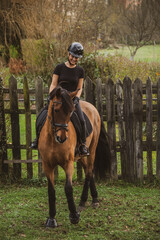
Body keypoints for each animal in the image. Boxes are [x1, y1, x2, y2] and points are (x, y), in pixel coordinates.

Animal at [38, 86, 110, 227]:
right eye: (56, 110)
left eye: (70, 112)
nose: (62, 138)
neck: (53, 140)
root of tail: (93, 107)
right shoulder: (47, 164)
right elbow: (51, 190)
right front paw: (51, 219)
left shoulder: (68, 163)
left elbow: (68, 188)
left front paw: (74, 216)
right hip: (80, 156)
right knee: (88, 169)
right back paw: (93, 198)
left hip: (92, 149)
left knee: (89, 171)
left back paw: (85, 201)